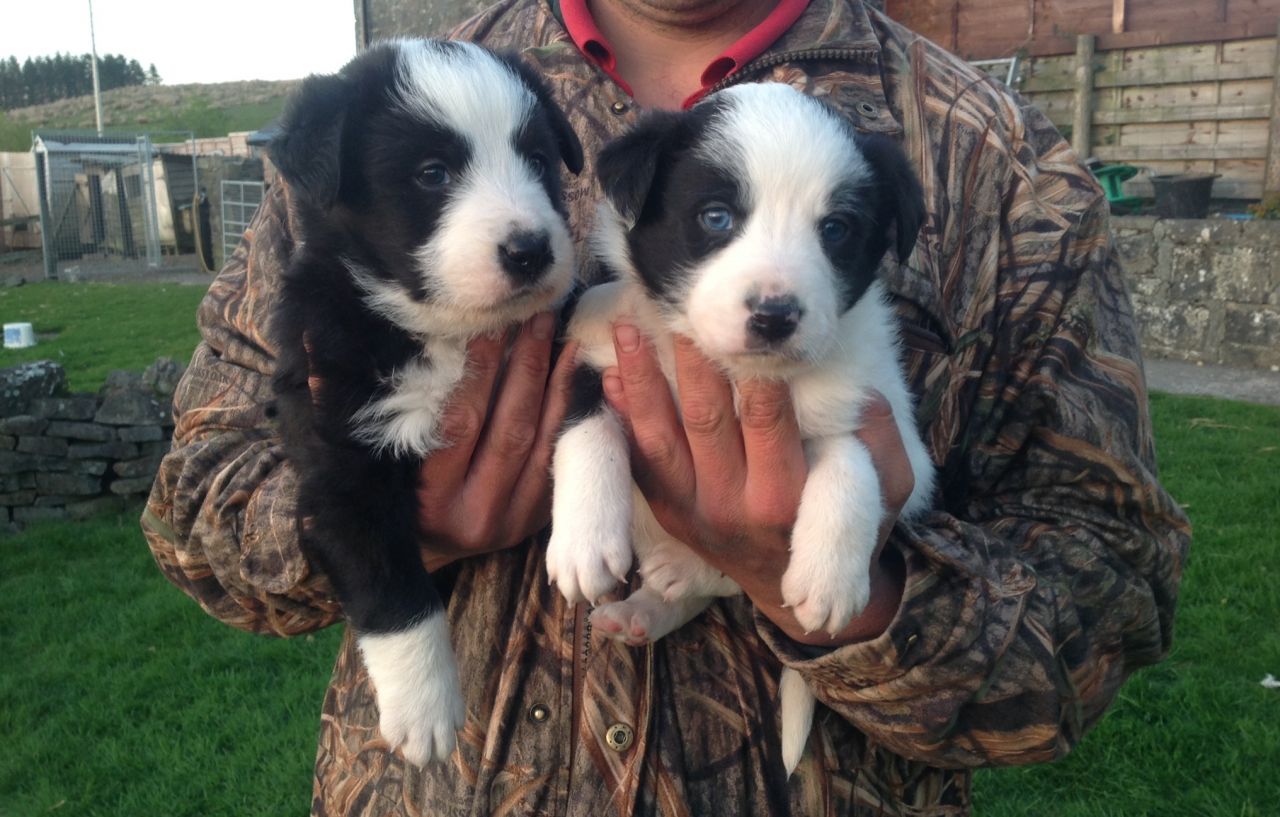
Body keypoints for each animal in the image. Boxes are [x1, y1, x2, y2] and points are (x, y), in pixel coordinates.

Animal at [275, 38, 586, 768]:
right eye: (432, 173)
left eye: (537, 160)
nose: (530, 250)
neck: (450, 332)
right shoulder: (344, 461)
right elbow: (395, 591)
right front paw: (425, 711)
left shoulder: (567, 342)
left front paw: (588, 535)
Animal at [545, 84, 936, 778]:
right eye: (716, 217)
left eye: (836, 230)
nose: (775, 315)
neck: (732, 375)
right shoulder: (599, 356)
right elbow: (584, 431)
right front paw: (583, 541)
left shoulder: (880, 418)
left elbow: (853, 462)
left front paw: (831, 578)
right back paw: (642, 611)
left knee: (727, 577)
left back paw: (680, 572)